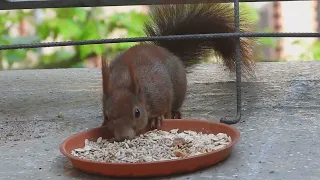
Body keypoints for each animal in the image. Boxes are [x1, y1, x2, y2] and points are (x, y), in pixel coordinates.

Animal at [101, 2, 254, 141]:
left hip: (179, 90)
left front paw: (157, 118)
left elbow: (164, 109)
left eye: (137, 113)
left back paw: (175, 114)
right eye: (107, 116)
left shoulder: (161, 91)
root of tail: (166, 51)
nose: (123, 137)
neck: (124, 81)